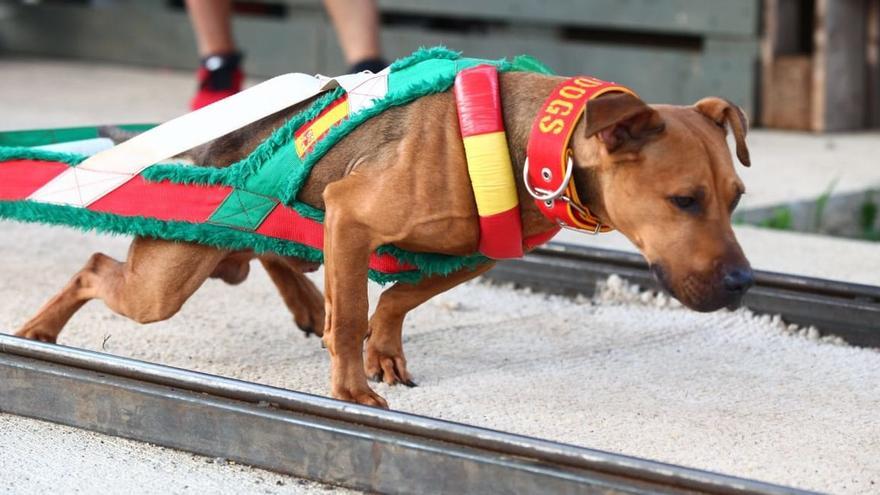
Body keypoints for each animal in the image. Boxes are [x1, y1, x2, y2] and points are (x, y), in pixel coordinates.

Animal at [15, 71, 748, 408]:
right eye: (684, 200)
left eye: (737, 198)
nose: (743, 283)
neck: (528, 145)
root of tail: (209, 147)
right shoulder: (352, 217)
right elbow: (352, 317)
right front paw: (351, 389)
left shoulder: (469, 255)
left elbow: (395, 297)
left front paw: (383, 351)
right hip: (162, 281)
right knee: (93, 264)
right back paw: (39, 329)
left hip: (237, 237)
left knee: (269, 244)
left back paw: (305, 300)